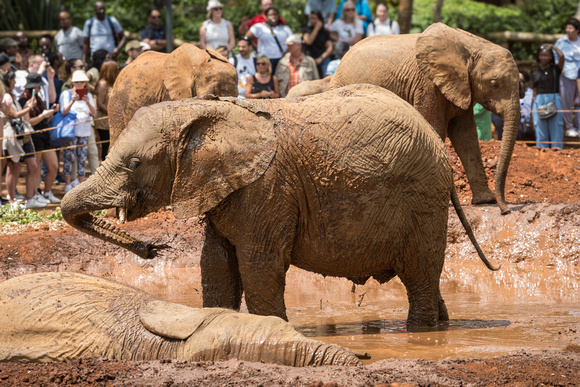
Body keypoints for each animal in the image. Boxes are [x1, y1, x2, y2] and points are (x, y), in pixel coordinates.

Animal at [61, 85, 500, 330]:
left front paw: (270, 328)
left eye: (135, 163)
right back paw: (442, 325)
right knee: (426, 276)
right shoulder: (227, 187)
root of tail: (437, 145)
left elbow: (259, 264)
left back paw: (420, 333)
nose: (153, 249)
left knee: (420, 273)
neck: (198, 110)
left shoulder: (267, 188)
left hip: (421, 198)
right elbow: (215, 263)